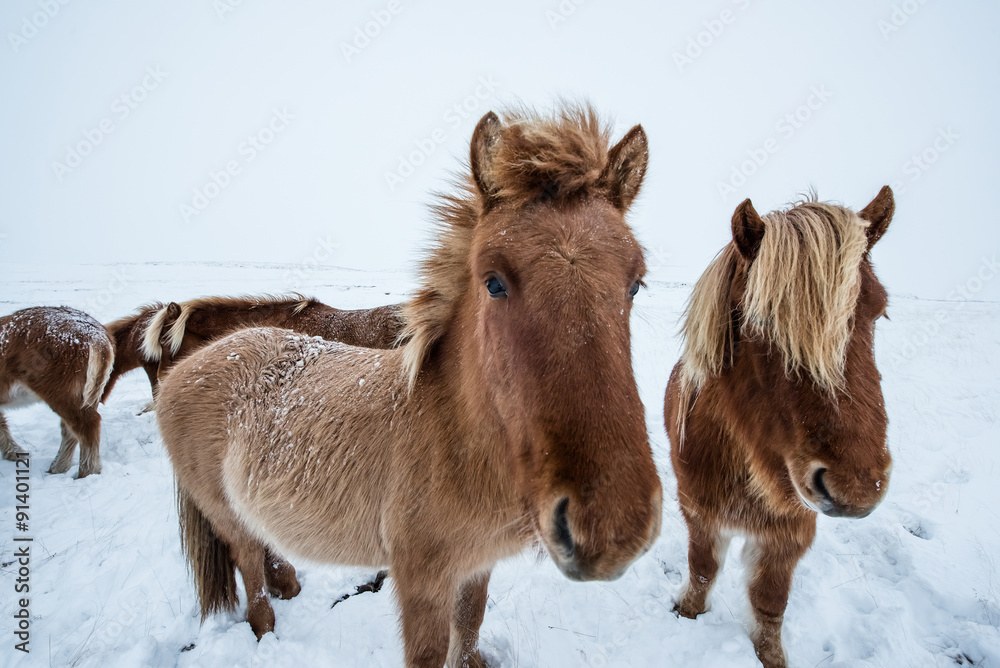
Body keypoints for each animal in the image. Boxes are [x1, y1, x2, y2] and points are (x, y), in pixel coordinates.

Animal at [0, 306, 115, 478]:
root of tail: (96, 334)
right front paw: (13, 453)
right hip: (88, 394)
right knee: (71, 430)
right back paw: (57, 468)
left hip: (61, 392)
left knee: (86, 426)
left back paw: (86, 473)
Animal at [156, 107, 664, 664]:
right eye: (493, 282)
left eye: (635, 282)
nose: (611, 526)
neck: (452, 439)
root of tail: (189, 364)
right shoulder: (421, 580)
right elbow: (430, 650)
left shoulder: (476, 565)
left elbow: (470, 624)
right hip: (223, 513)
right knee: (248, 563)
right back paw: (267, 630)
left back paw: (289, 585)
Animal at [668, 188, 896, 668]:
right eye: (761, 322)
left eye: (880, 312)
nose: (859, 488)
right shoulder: (699, 511)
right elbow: (703, 568)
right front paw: (688, 611)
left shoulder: (788, 532)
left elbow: (771, 601)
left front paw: (769, 655)